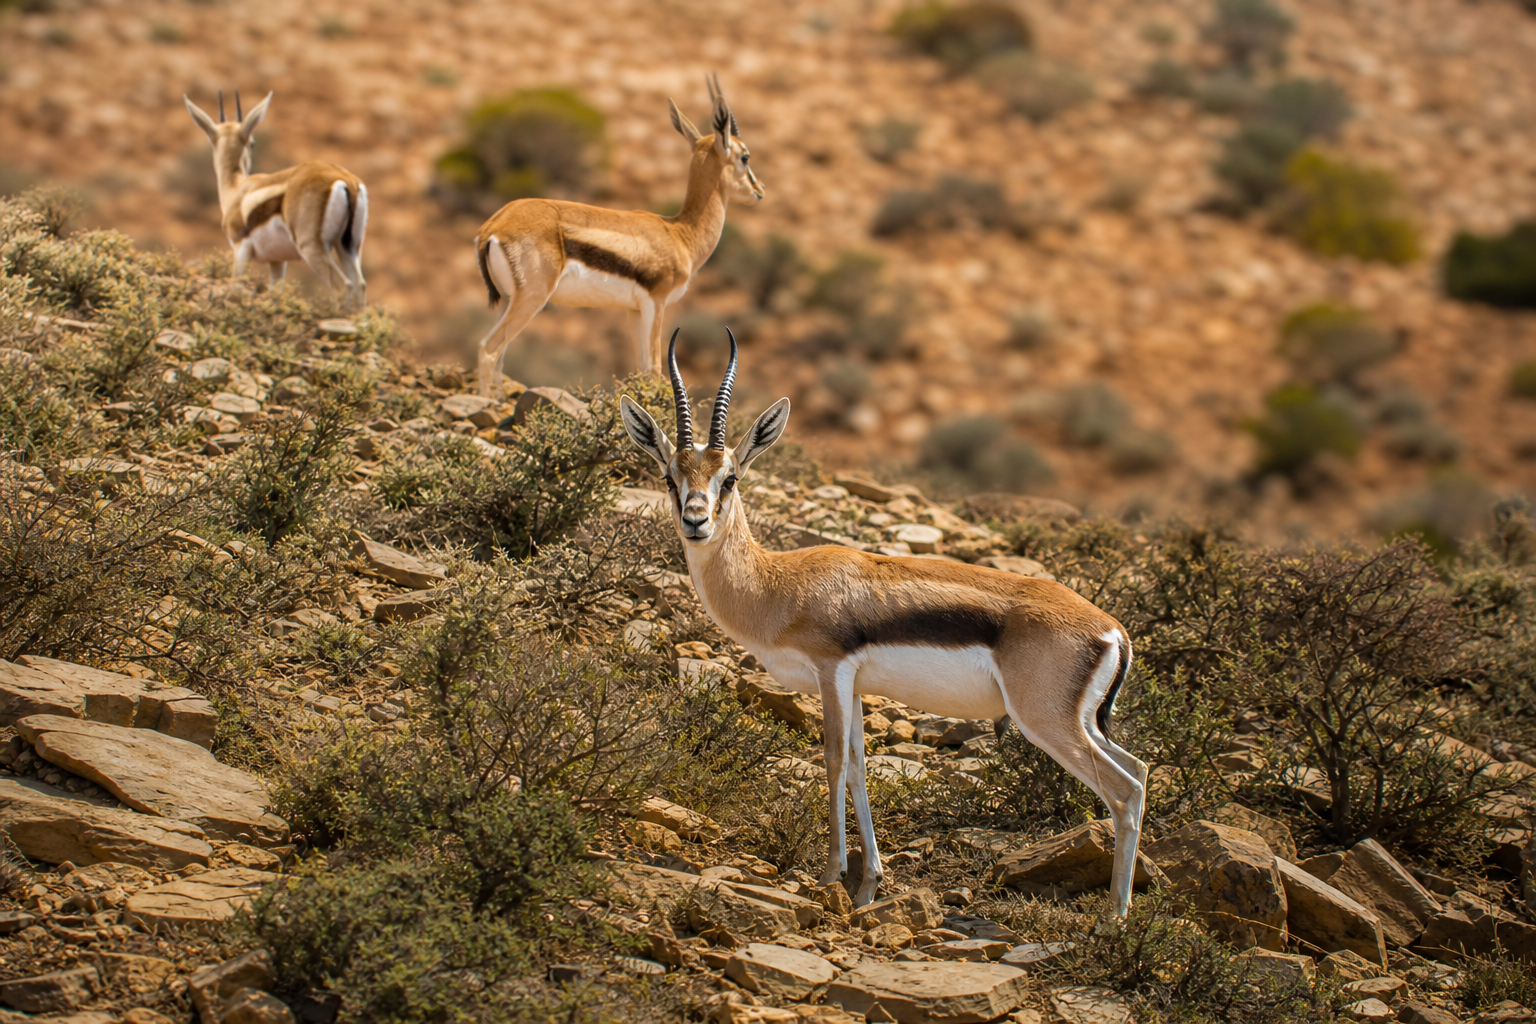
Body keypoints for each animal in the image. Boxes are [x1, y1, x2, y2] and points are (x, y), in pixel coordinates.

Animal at [184, 91, 368, 309]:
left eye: (252, 142)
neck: (237, 190)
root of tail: (346, 180)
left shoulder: (240, 250)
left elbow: (234, 288)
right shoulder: (278, 261)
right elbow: (275, 296)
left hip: (312, 248)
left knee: (343, 287)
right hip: (347, 247)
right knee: (359, 285)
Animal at [471, 74, 764, 398]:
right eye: (745, 156)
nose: (759, 190)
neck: (680, 234)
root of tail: (493, 227)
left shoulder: (632, 310)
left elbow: (641, 370)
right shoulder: (656, 302)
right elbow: (655, 369)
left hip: (508, 300)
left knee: (500, 356)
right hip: (531, 299)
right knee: (488, 350)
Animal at [619, 331, 1149, 914]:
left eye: (729, 478)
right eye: (670, 477)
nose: (696, 521)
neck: (779, 585)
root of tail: (1113, 630)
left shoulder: (831, 671)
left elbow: (831, 760)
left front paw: (830, 876)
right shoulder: (854, 686)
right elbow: (858, 766)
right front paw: (868, 883)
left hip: (1046, 721)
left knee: (1123, 792)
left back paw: (1114, 921)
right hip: (1085, 722)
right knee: (1140, 773)